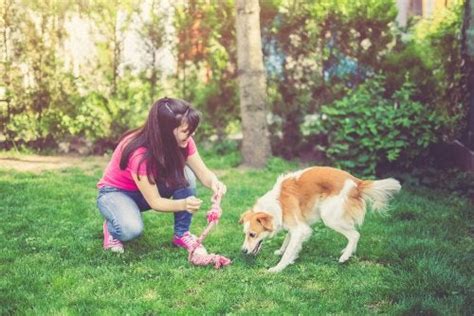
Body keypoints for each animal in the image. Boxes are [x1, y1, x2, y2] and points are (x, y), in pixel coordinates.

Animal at [241, 167, 400, 272]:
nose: (242, 251)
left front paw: (278, 267)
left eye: (252, 234)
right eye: (245, 234)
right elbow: (288, 239)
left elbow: (289, 250)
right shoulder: (297, 225)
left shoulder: (300, 228)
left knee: (355, 234)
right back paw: (348, 251)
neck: (276, 204)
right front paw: (281, 251)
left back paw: (345, 257)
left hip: (329, 217)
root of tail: (356, 183)